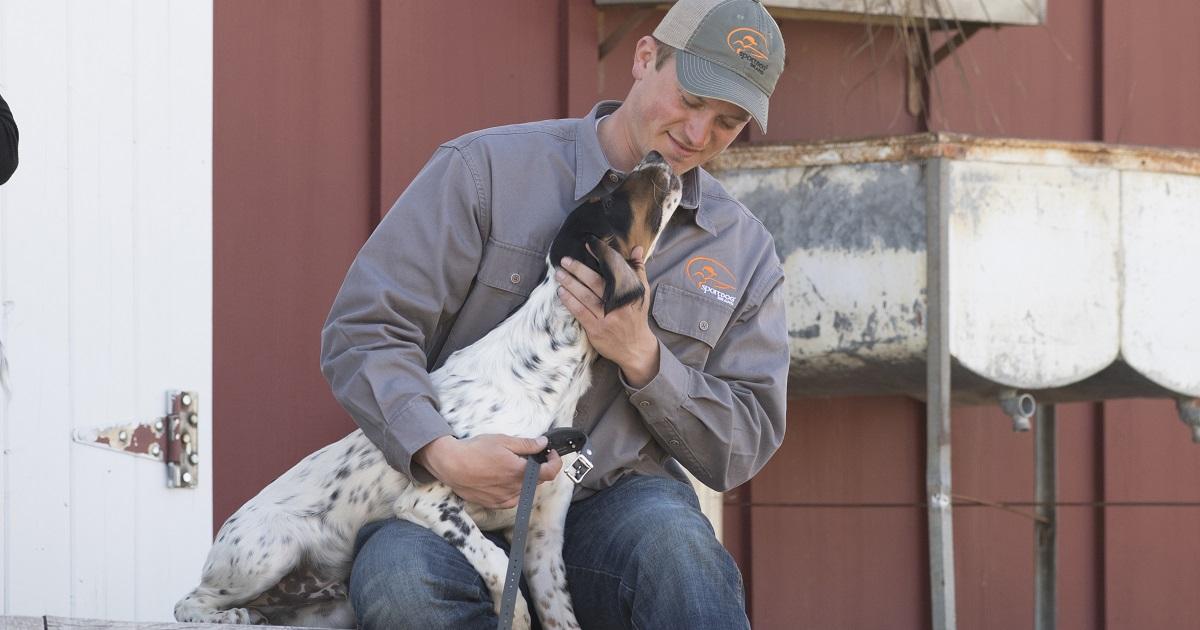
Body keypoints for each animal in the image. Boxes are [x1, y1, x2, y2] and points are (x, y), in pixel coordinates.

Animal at [174, 151, 683, 629]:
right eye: (613, 190)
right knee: (188, 603)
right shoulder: (429, 501)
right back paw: (236, 616)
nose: (658, 155)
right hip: (270, 550)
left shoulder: (542, 540)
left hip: (331, 606)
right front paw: (513, 615)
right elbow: (499, 565)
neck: (545, 375)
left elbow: (558, 614)